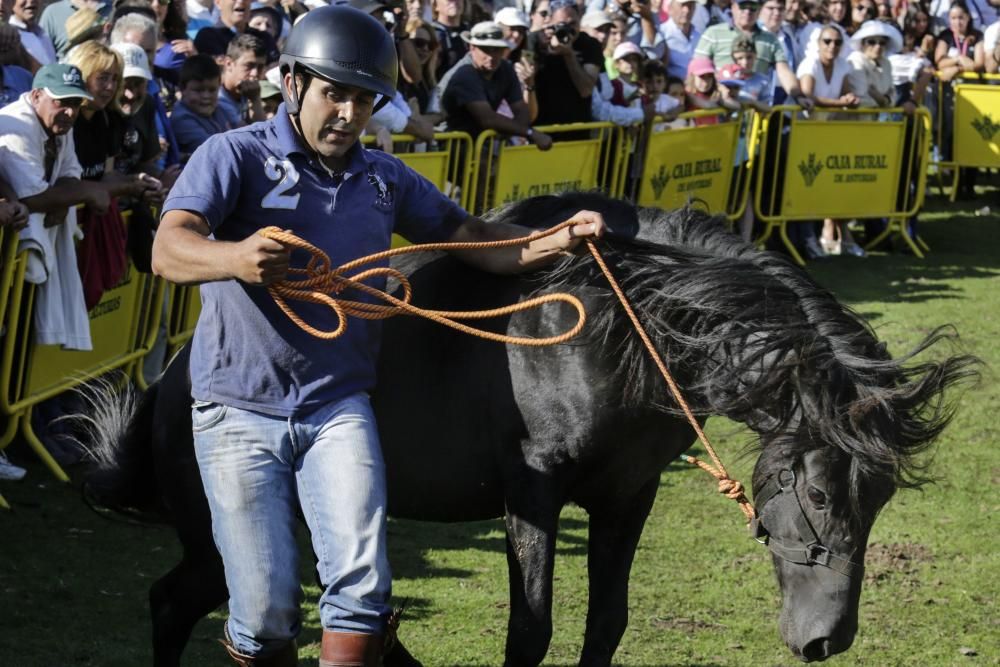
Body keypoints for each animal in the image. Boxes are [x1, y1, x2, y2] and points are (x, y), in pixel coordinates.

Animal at [84, 193, 976, 667]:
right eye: (820, 494)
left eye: (880, 499)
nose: (828, 637)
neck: (614, 325)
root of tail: (172, 383)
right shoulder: (533, 498)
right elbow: (531, 628)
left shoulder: (627, 498)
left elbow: (605, 621)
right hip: (227, 537)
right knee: (184, 603)